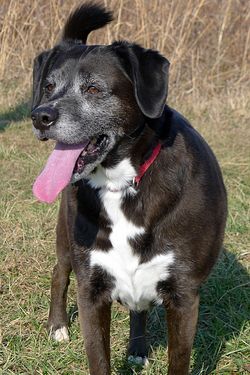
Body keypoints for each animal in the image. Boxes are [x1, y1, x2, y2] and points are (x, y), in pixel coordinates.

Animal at [30, 3, 227, 375]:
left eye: (94, 89)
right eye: (48, 87)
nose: (39, 117)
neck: (120, 185)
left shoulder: (184, 295)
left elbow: (178, 360)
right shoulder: (91, 290)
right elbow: (98, 358)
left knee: (139, 307)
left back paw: (137, 348)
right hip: (65, 238)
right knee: (58, 273)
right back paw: (58, 326)